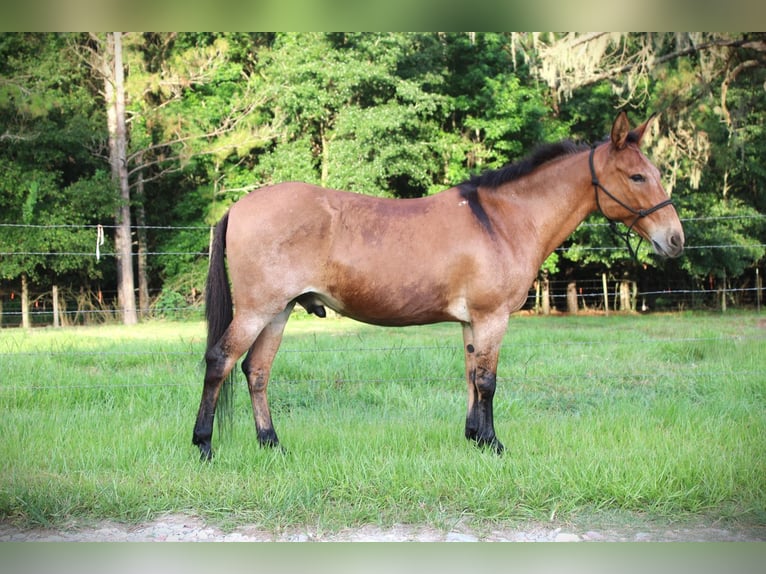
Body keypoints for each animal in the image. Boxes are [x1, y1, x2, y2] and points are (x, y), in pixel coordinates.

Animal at [192, 112, 685, 460]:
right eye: (637, 176)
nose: (675, 239)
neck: (502, 220)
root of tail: (239, 206)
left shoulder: (471, 323)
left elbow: (470, 377)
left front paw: (475, 438)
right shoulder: (492, 319)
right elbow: (488, 381)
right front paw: (494, 444)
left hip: (278, 311)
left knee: (256, 371)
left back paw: (272, 444)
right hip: (257, 310)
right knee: (220, 362)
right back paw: (204, 445)